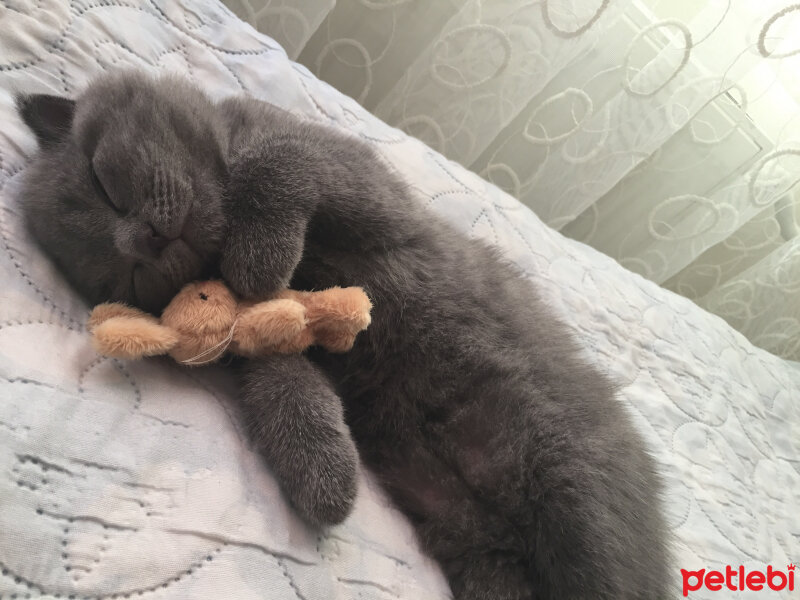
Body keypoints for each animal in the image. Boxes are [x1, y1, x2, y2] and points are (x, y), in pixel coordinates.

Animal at [18, 74, 668, 600]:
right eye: (123, 276)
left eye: (104, 183)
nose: (144, 241)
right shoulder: (263, 345)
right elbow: (285, 385)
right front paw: (324, 478)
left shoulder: (362, 182)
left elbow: (280, 160)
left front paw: (259, 253)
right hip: (482, 553)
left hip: (577, 499)